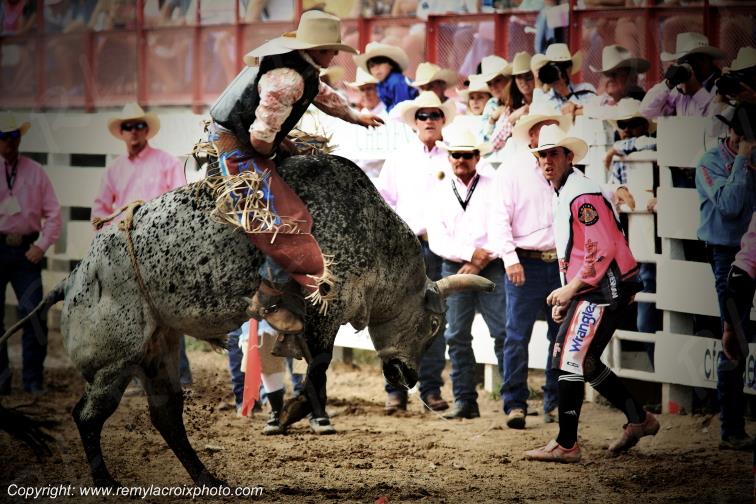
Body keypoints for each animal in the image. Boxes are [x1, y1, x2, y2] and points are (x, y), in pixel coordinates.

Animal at [1, 154, 494, 487]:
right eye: (433, 325)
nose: (409, 377)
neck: (373, 233)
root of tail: (74, 276)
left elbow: (311, 370)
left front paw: (290, 414)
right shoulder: (324, 310)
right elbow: (317, 372)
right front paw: (291, 413)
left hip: (158, 350)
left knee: (166, 415)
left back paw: (207, 478)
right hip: (115, 361)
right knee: (87, 414)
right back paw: (107, 481)